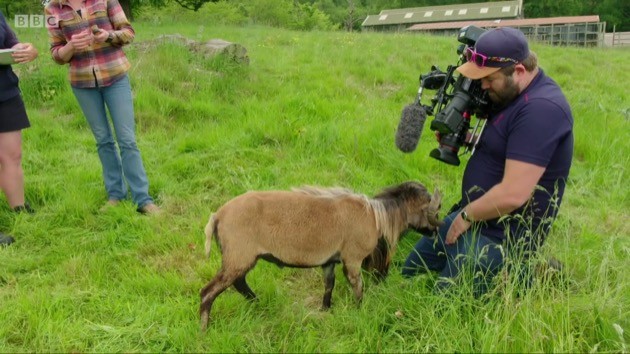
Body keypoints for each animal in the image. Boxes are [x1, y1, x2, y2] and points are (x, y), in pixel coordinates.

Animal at [200, 181, 442, 330]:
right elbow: (357, 286)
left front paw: (325, 309)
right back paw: (204, 329)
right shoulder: (352, 259)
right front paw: (360, 310)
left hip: (238, 259)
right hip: (239, 257)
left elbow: (329, 284)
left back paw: (257, 303)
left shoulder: (329, 261)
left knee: (238, 283)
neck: (376, 216)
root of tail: (217, 216)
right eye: (431, 208)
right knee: (208, 292)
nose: (436, 231)